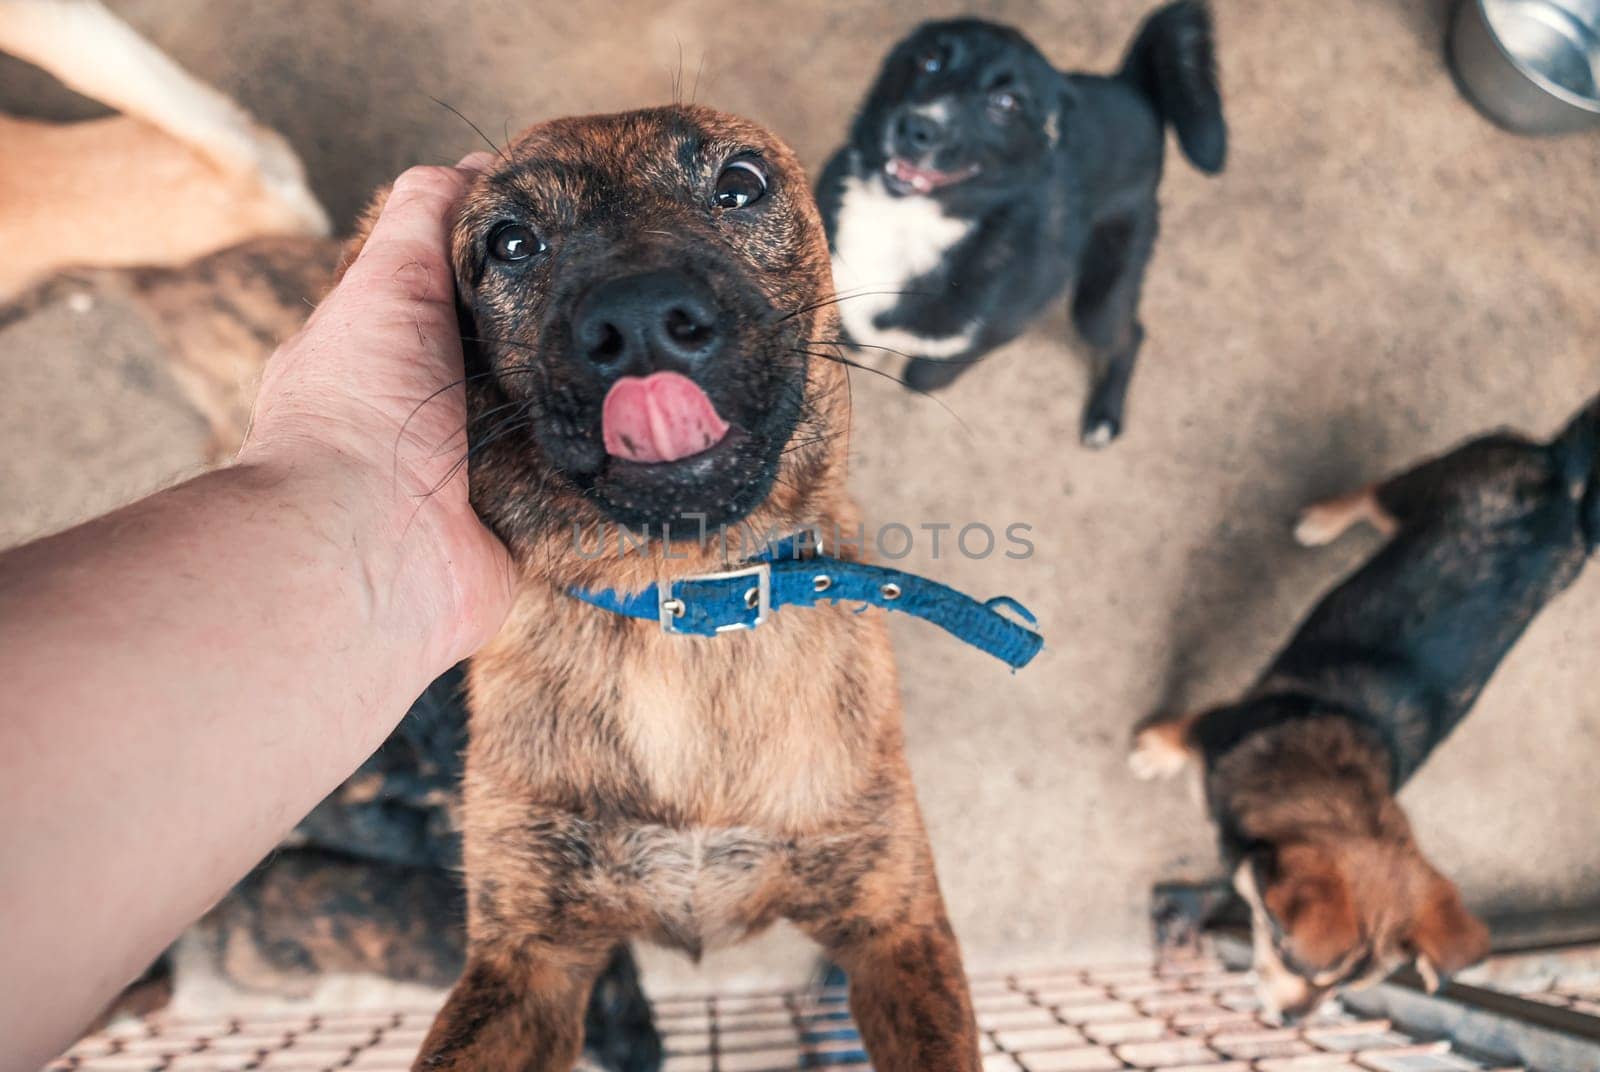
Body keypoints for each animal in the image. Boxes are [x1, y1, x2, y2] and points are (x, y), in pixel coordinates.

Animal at [342, 107, 979, 1072]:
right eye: (511, 241)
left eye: (741, 184)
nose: (640, 321)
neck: (682, 606)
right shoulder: (527, 964)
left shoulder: (895, 926)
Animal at [819, 0, 1228, 444]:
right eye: (930, 61)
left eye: (1006, 103)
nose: (916, 128)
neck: (905, 222)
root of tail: (1131, 86)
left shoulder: (998, 329)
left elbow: (925, 375)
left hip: (1099, 299)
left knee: (1130, 336)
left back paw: (1105, 417)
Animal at [1139, 396, 1600, 1024]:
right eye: (1289, 954)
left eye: (1347, 987)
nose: (1290, 1022)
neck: (1332, 794)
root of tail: (1566, 475)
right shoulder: (1220, 723)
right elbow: (1182, 729)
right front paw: (1153, 753)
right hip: (1441, 485)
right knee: (1377, 492)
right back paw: (1322, 519)